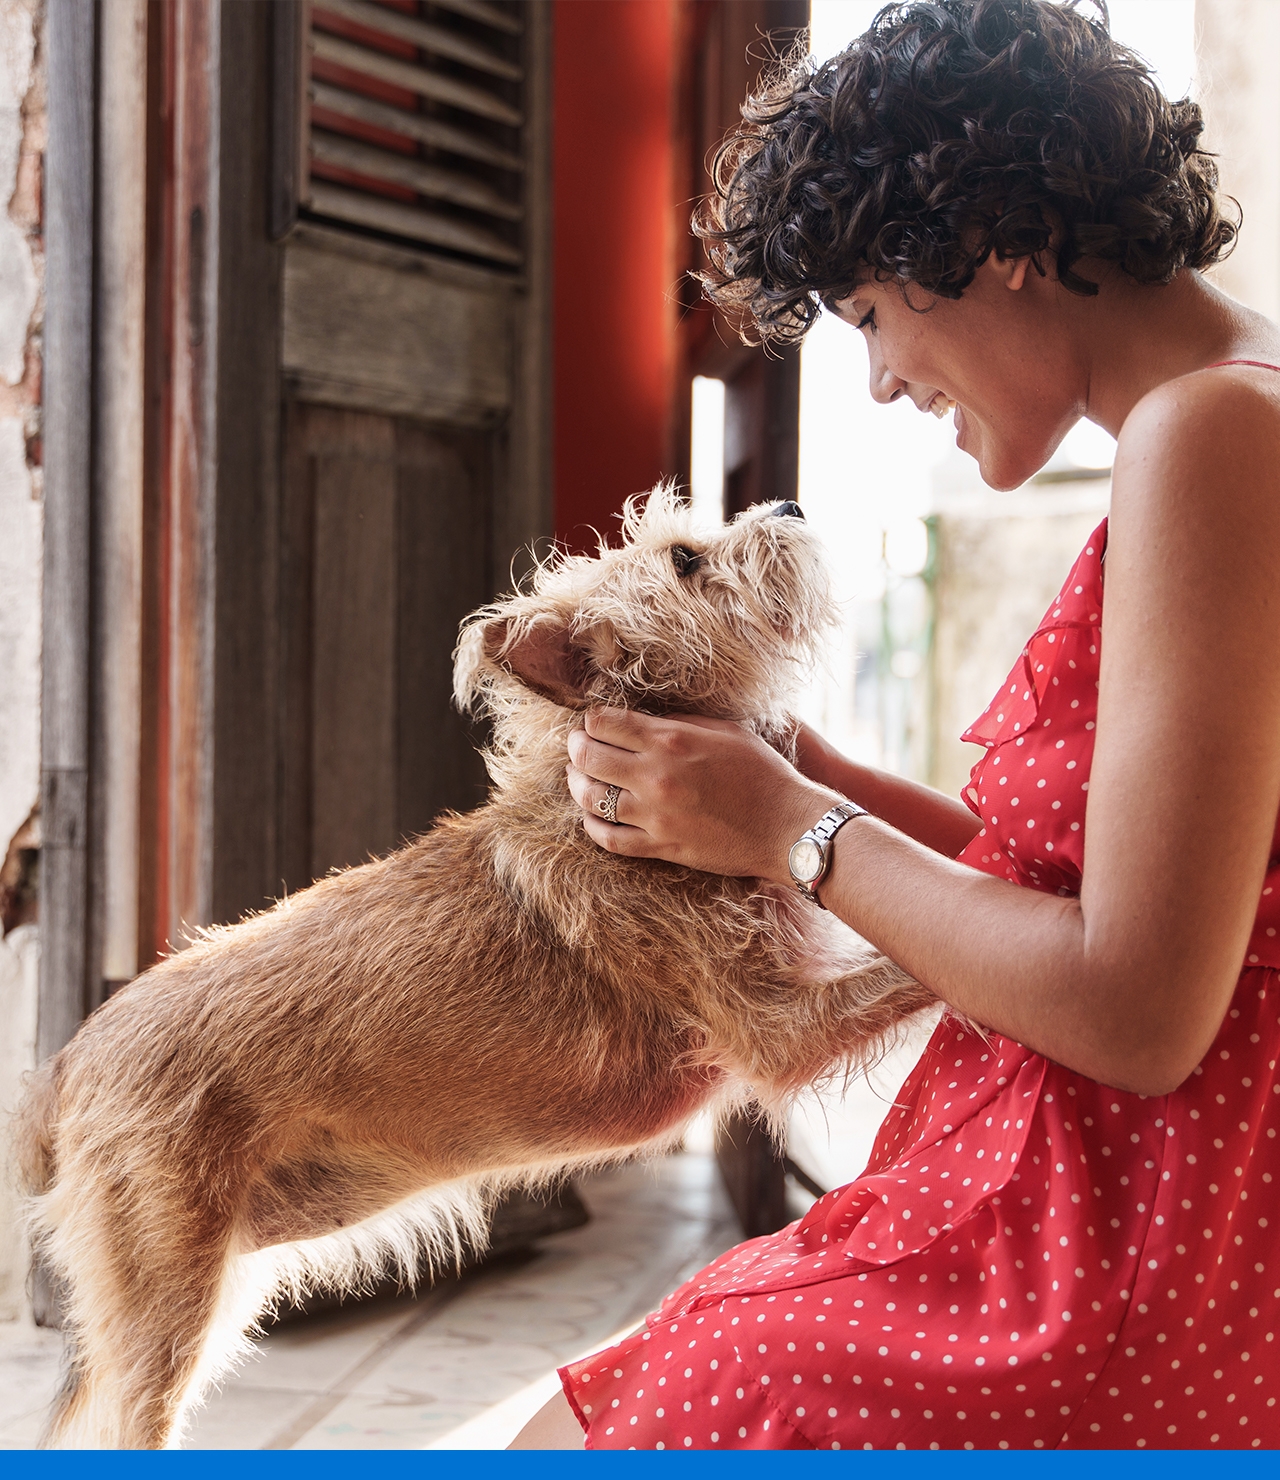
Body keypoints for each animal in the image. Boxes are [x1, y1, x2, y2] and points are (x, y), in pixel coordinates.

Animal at [12, 488, 929, 1444]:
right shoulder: (783, 1029)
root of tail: (68, 1060)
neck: (600, 815)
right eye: (686, 559)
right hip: (163, 1317)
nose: (787, 502)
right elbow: (910, 972)